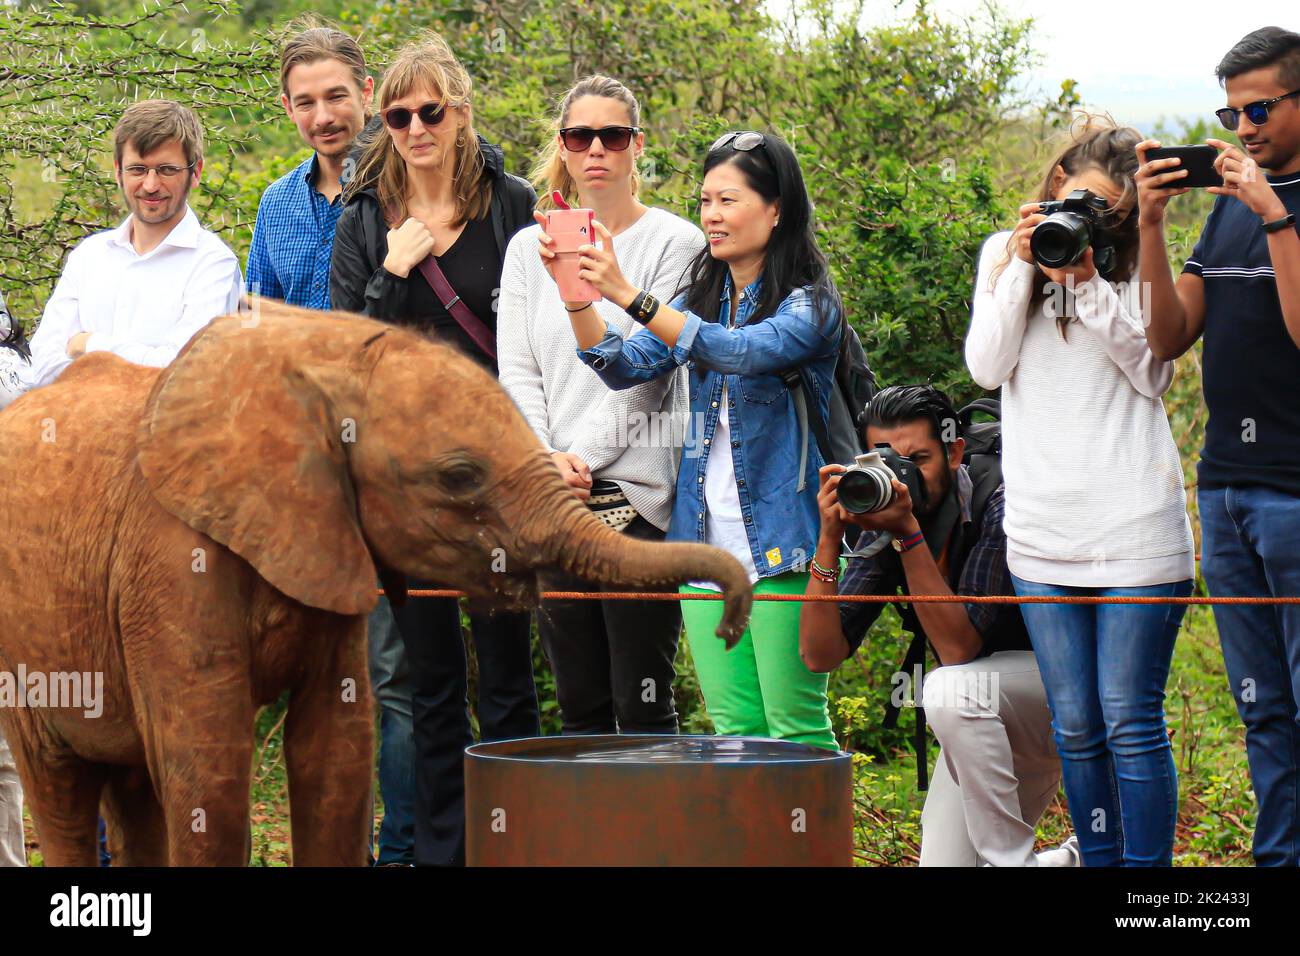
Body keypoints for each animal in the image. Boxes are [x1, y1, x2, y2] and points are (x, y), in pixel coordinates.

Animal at [0, 303, 754, 868]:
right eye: (459, 477)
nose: (728, 625)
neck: (317, 352)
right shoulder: (171, 558)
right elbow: (209, 770)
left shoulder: (329, 543)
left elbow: (336, 753)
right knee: (62, 787)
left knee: (130, 786)